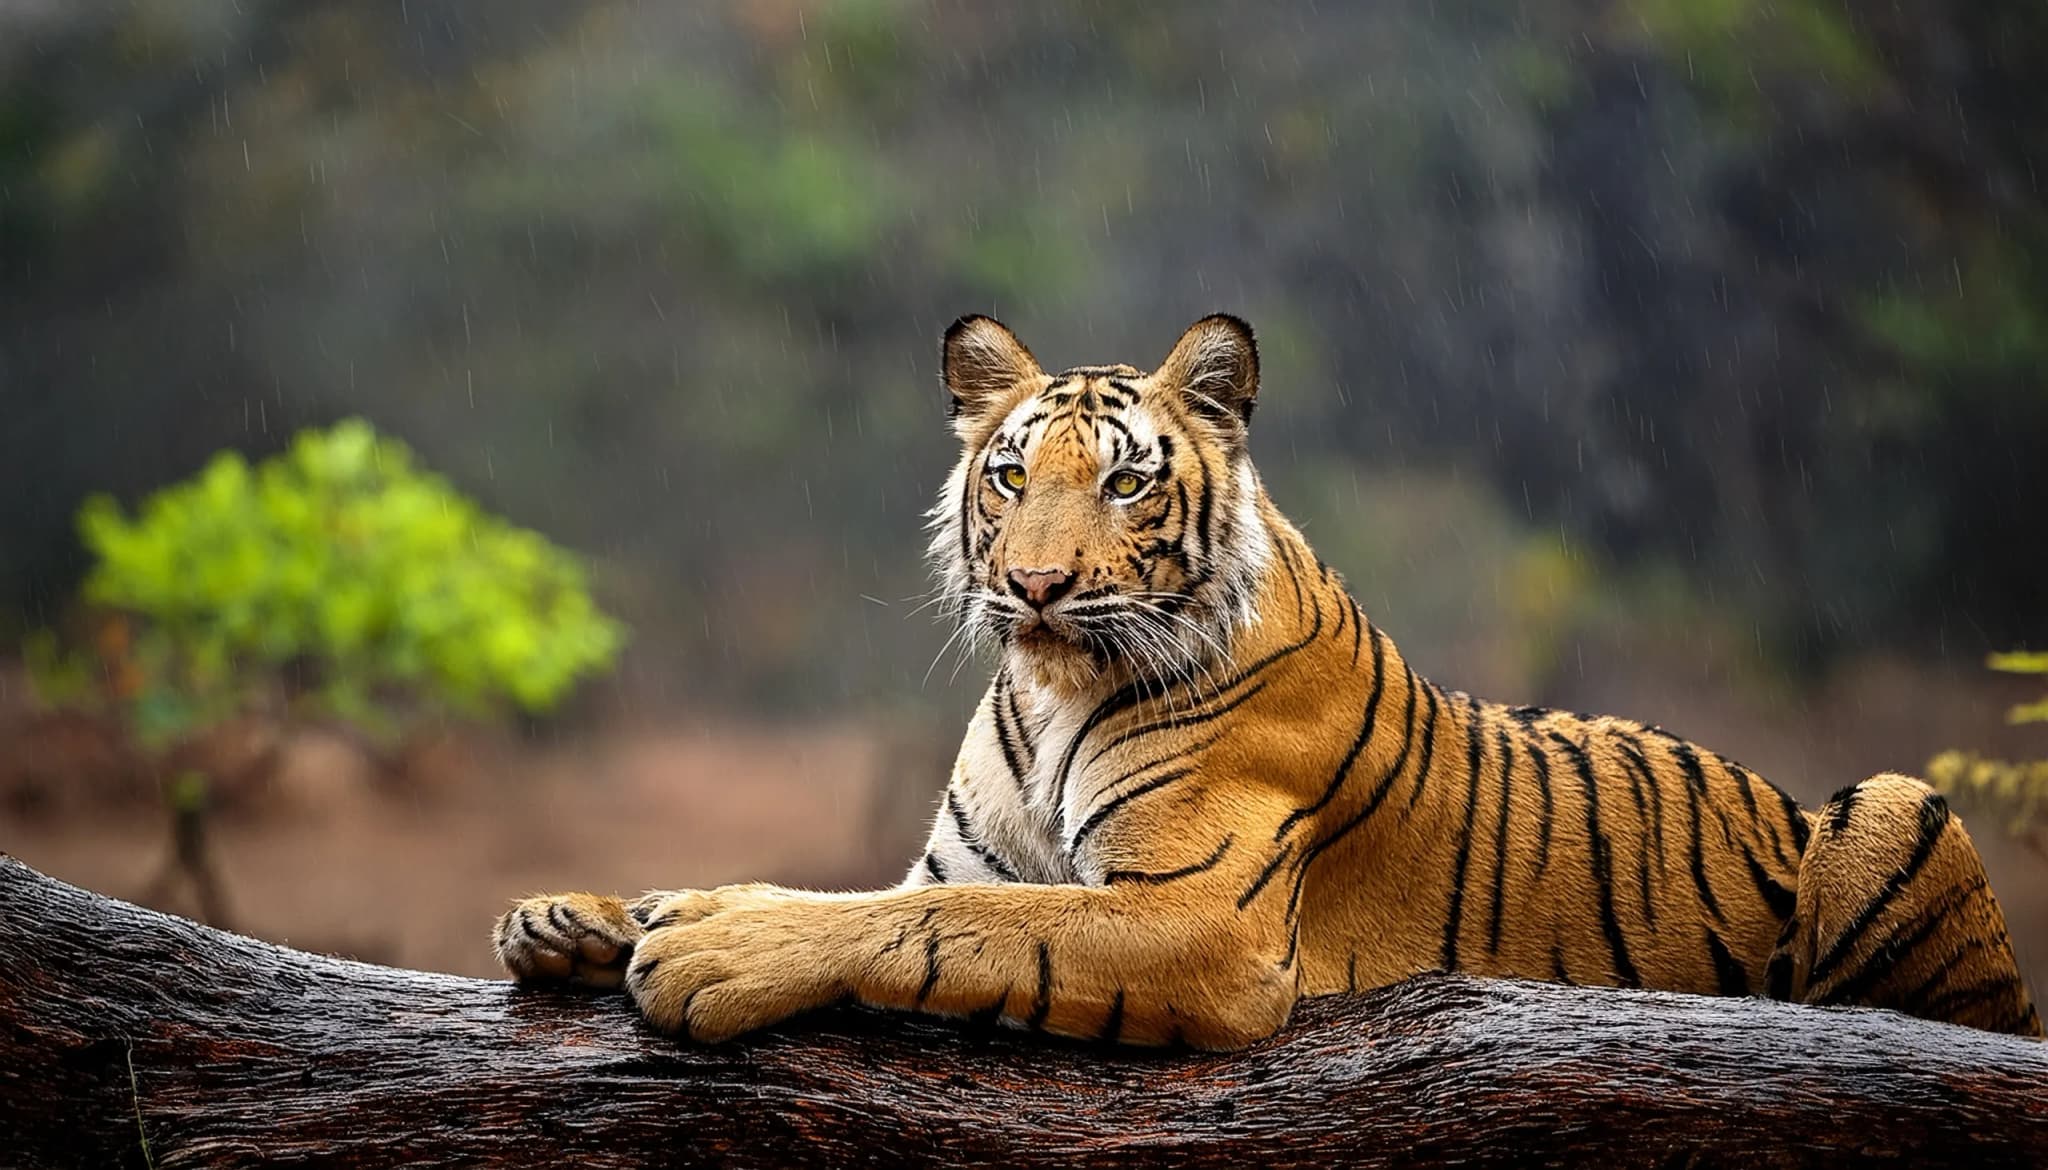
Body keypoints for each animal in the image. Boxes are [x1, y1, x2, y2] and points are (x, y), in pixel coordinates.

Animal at [494, 313, 2042, 1047]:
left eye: (1124, 481)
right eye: (1011, 476)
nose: (1035, 586)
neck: (1052, 689)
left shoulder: (1202, 918)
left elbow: (943, 925)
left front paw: (708, 940)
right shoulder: (960, 857)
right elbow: (891, 896)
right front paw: (572, 915)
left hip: (1895, 801)